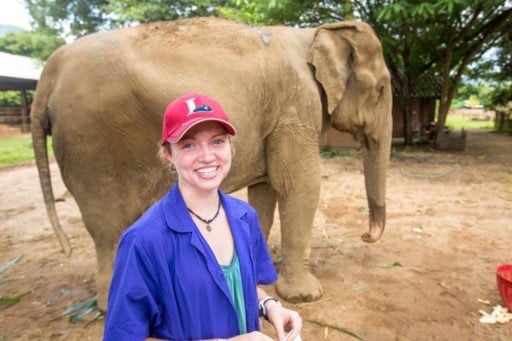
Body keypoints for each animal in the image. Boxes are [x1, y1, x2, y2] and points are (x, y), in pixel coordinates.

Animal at [32, 16, 392, 310]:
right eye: (382, 89)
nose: (366, 236)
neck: (315, 34)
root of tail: (47, 76)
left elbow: (264, 189)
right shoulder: (296, 108)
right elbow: (298, 185)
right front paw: (306, 296)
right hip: (92, 144)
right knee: (109, 227)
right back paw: (111, 307)